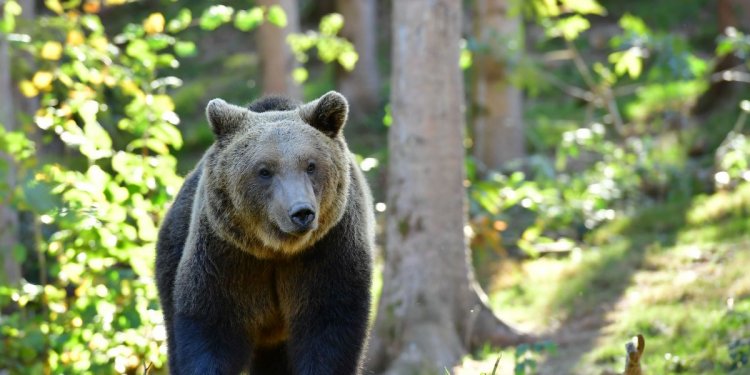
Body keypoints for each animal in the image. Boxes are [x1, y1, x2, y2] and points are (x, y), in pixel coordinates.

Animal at [156, 92, 376, 375]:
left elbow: (329, 328)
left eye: (311, 165)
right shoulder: (226, 257)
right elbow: (211, 327)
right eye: (264, 170)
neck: (276, 249)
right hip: (172, 250)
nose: (301, 212)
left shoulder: (329, 250)